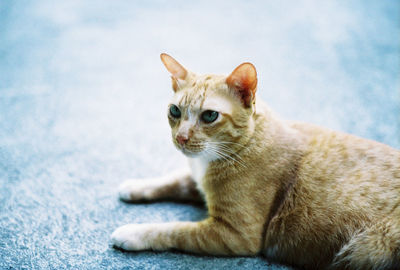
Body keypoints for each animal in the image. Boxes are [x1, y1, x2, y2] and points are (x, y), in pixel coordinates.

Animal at [111, 53, 400, 270]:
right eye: (174, 111)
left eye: (209, 116)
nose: (181, 138)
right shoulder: (197, 180)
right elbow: (174, 179)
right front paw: (135, 186)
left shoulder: (234, 235)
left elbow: (174, 230)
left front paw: (132, 233)